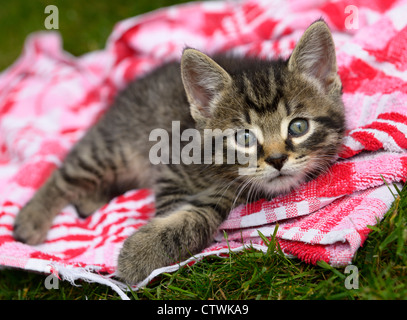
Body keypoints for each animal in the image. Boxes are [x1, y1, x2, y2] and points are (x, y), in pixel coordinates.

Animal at [12, 20, 344, 282]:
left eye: (298, 127)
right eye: (245, 137)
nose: (276, 159)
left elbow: (200, 215)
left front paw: (142, 251)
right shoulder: (171, 165)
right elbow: (174, 210)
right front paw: (146, 248)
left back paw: (89, 200)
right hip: (112, 149)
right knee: (65, 175)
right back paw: (32, 220)